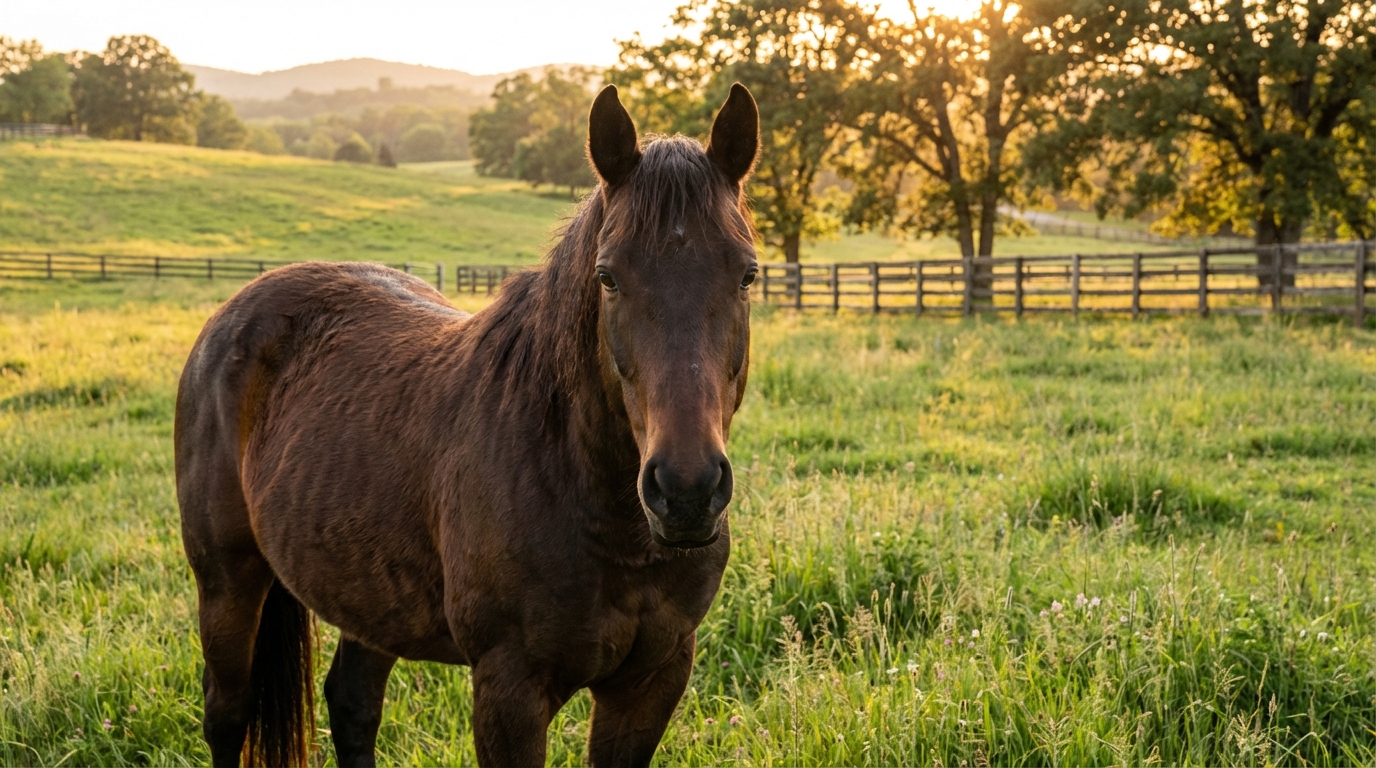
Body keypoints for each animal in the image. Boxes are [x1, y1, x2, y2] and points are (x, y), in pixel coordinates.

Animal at [174, 82, 760, 768]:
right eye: (608, 276)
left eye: (747, 274)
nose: (686, 491)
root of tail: (239, 307)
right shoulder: (510, 690)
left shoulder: (652, 680)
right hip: (227, 581)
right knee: (228, 714)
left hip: (366, 590)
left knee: (352, 704)